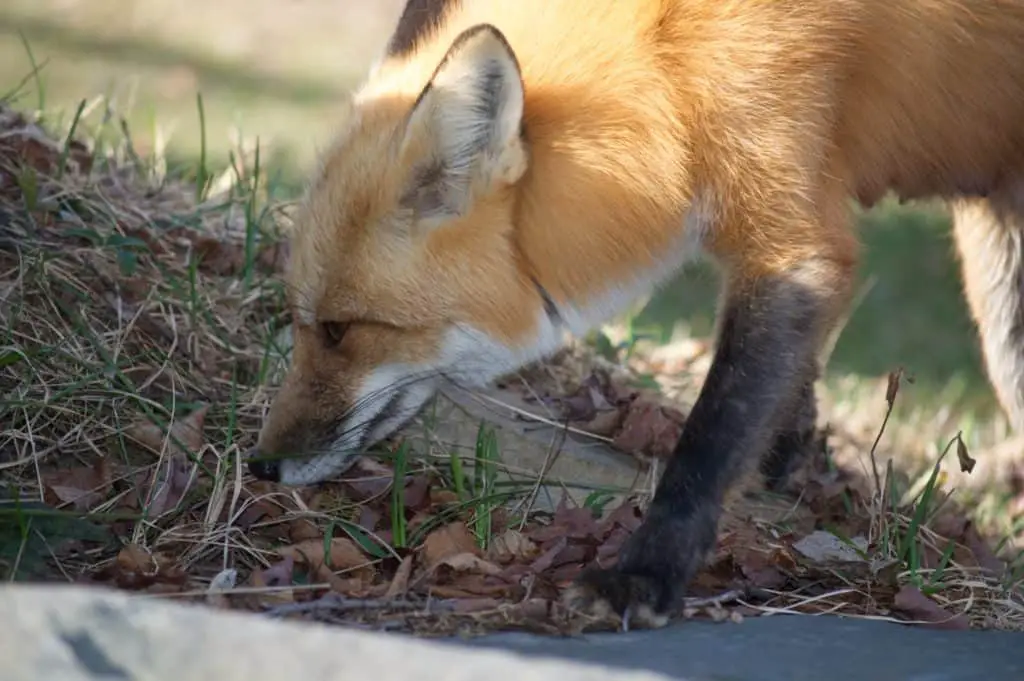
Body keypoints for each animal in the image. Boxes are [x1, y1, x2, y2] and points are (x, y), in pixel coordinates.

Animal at [247, 0, 1024, 626]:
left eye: (340, 329)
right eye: (302, 322)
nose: (260, 467)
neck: (673, 69)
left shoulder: (792, 234)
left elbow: (712, 431)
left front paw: (646, 574)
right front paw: (792, 443)